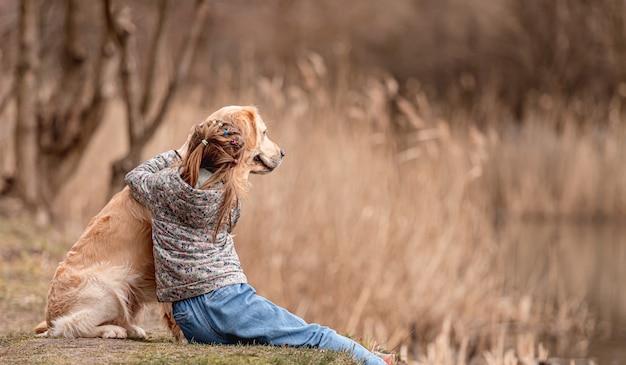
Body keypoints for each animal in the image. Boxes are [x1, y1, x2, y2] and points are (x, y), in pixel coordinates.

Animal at [31, 105, 280, 338]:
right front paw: (182, 333)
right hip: (110, 285)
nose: (283, 153)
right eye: (264, 132)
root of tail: (49, 317)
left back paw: (132, 329)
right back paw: (112, 330)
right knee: (70, 326)